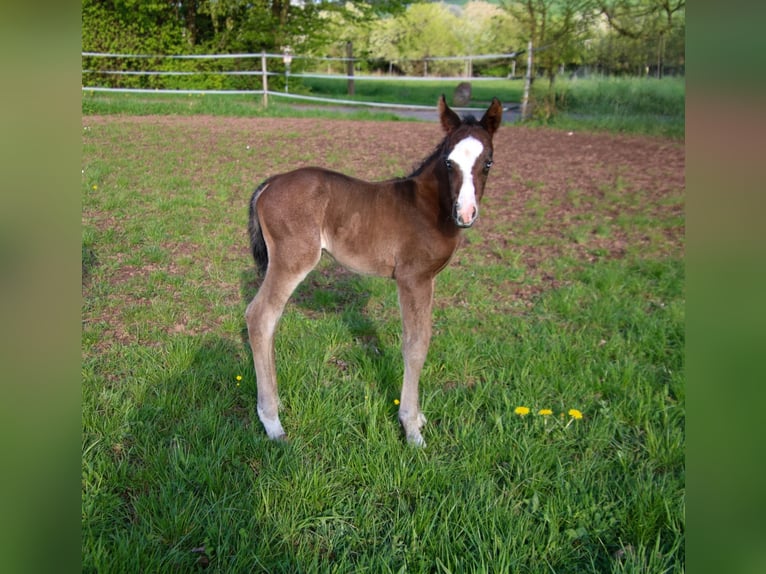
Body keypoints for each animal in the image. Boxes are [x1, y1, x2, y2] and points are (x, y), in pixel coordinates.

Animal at [245, 95, 502, 446]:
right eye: (449, 163)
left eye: (488, 162)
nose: (465, 213)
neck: (428, 208)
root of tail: (271, 182)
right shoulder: (413, 278)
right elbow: (415, 345)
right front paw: (412, 429)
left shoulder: (428, 280)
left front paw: (418, 418)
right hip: (293, 258)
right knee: (260, 317)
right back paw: (272, 422)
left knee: (269, 320)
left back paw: (276, 403)